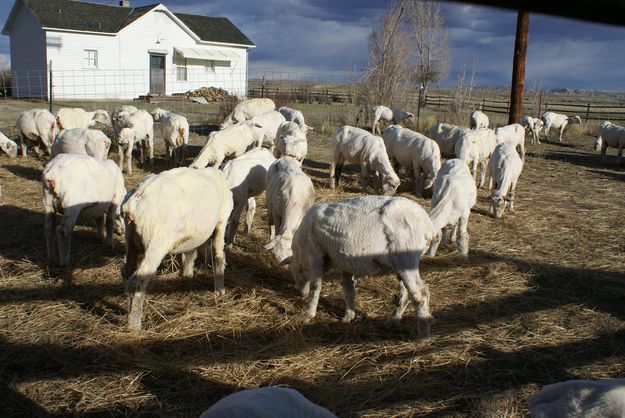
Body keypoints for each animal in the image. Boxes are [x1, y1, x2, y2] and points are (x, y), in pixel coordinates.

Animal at [120, 167, 233, 330]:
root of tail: (133, 202)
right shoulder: (221, 221)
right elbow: (218, 256)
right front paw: (220, 290)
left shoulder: (192, 235)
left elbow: (190, 254)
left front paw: (187, 275)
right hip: (156, 241)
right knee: (137, 282)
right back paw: (135, 326)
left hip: (131, 241)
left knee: (127, 272)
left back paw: (128, 311)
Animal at [282, 196, 434, 340]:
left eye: (295, 273)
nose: (301, 294)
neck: (301, 252)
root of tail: (427, 225)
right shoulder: (345, 263)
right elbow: (348, 289)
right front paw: (349, 316)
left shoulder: (315, 258)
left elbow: (315, 287)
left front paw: (308, 314)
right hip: (401, 264)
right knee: (405, 294)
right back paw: (392, 321)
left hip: (406, 256)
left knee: (420, 294)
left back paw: (424, 335)